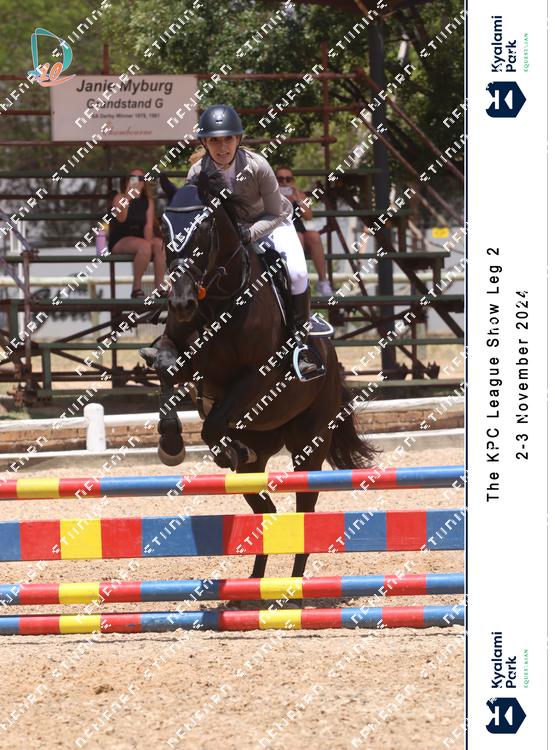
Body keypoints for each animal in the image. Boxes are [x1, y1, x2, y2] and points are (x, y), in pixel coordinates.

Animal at [150, 170, 376, 578]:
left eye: (205, 226)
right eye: (163, 227)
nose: (181, 302)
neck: (218, 299)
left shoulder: (259, 375)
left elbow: (214, 423)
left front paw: (222, 447)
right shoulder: (180, 354)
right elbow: (164, 367)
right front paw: (171, 444)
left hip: (309, 445)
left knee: (303, 512)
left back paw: (291, 586)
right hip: (259, 458)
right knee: (264, 510)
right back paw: (254, 583)